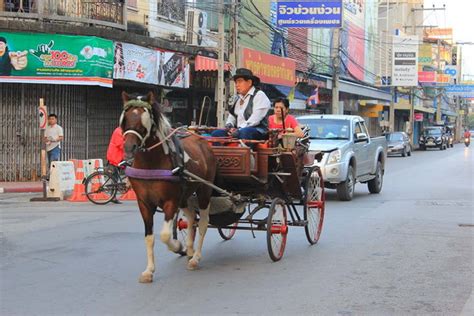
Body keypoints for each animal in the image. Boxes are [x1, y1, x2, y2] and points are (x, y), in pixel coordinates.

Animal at [119, 92, 216, 284]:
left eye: (144, 120)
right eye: (125, 119)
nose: (129, 147)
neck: (151, 163)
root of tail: (203, 142)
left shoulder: (170, 201)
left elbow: (164, 235)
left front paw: (177, 245)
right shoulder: (144, 203)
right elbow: (149, 237)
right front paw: (149, 271)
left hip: (204, 190)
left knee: (202, 222)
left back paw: (195, 257)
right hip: (185, 194)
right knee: (191, 218)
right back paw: (190, 249)